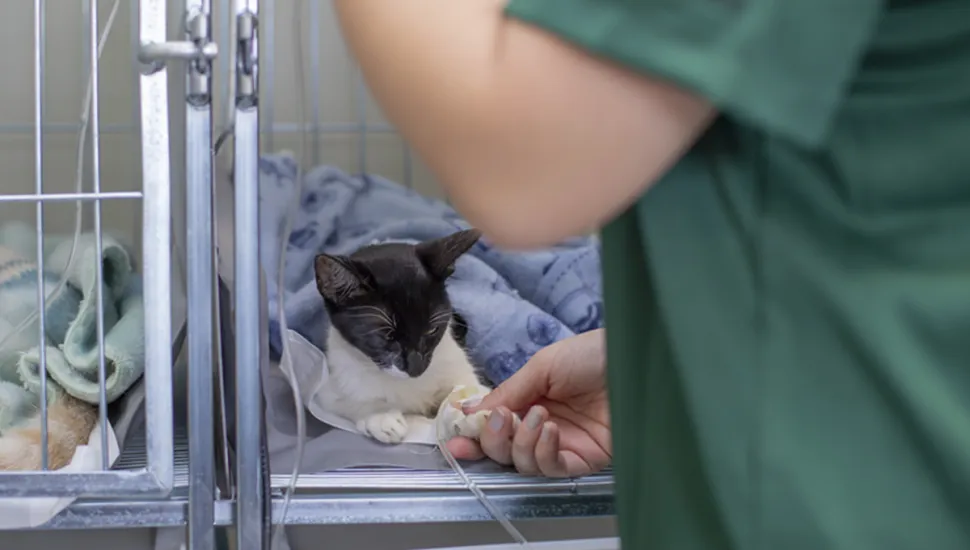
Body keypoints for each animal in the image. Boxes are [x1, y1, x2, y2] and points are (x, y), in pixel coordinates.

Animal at [310, 227, 492, 444]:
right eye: (385, 335)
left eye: (432, 330)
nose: (416, 368)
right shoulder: (331, 382)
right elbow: (344, 400)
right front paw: (381, 416)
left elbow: (467, 385)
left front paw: (471, 409)